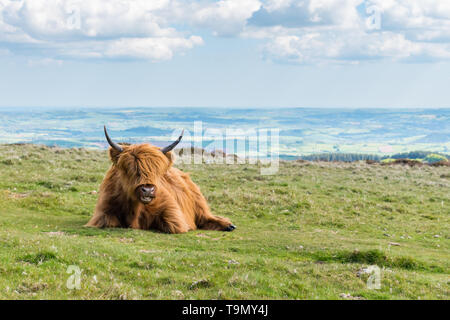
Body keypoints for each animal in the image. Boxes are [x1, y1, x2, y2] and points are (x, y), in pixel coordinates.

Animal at [86, 126, 237, 234]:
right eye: (130, 168)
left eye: (157, 170)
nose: (148, 190)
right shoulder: (104, 212)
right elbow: (110, 221)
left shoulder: (172, 211)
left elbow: (171, 225)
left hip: (199, 202)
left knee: (205, 216)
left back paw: (228, 225)